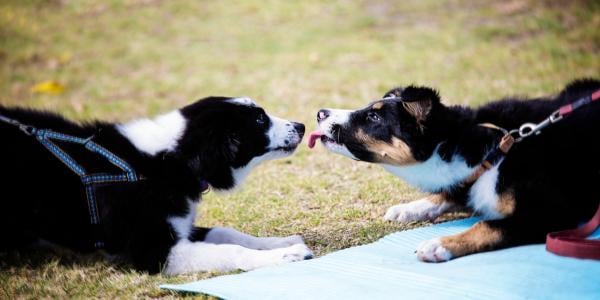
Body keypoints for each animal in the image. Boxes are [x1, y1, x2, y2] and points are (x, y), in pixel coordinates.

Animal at [1, 96, 314, 274]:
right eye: (260, 119)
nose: (301, 126)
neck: (165, 162)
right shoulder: (156, 250)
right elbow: (230, 250)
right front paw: (287, 255)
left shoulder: (179, 224)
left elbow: (227, 233)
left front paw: (281, 243)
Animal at [310, 79, 600, 262]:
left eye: (374, 117)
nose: (320, 113)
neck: (494, 151)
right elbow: (448, 194)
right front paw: (409, 208)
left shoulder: (553, 213)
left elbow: (488, 225)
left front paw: (440, 245)